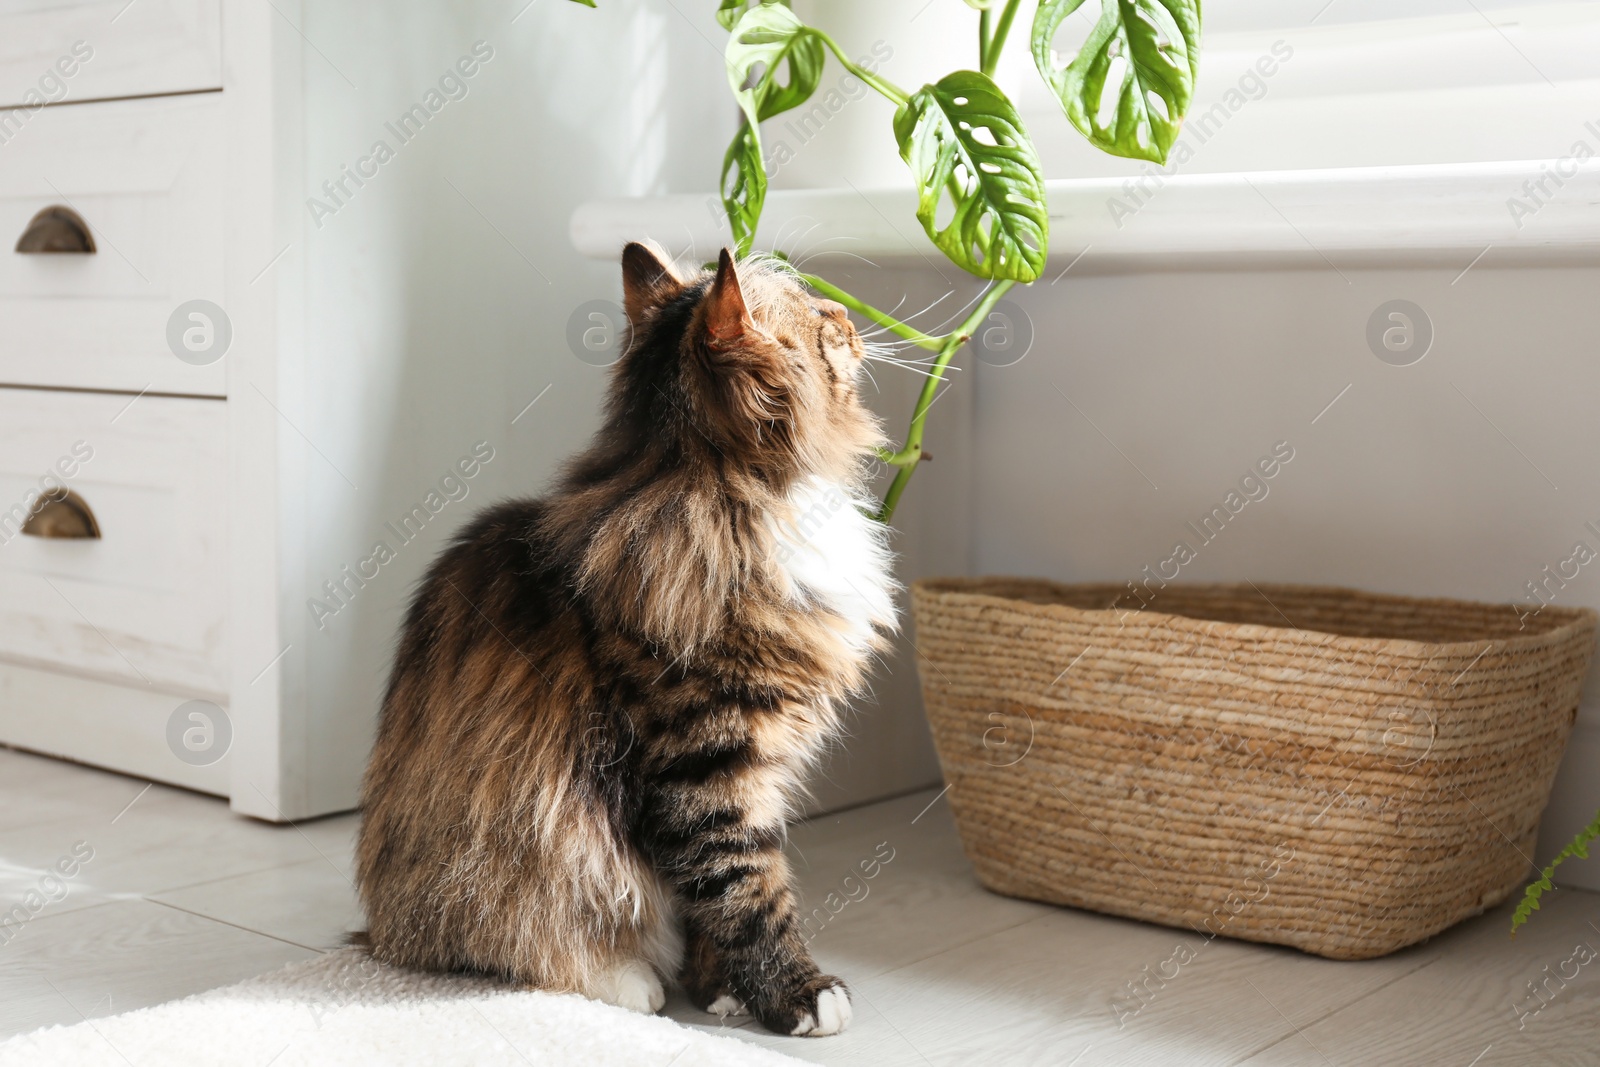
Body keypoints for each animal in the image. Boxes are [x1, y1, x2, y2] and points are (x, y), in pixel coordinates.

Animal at [353, 246, 902, 1036]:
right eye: (817, 315)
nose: (851, 318)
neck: (723, 491)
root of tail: (375, 930)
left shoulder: (743, 769)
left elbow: (711, 905)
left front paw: (720, 991)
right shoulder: (707, 766)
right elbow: (749, 891)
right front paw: (795, 994)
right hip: (506, 871)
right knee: (518, 947)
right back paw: (628, 979)